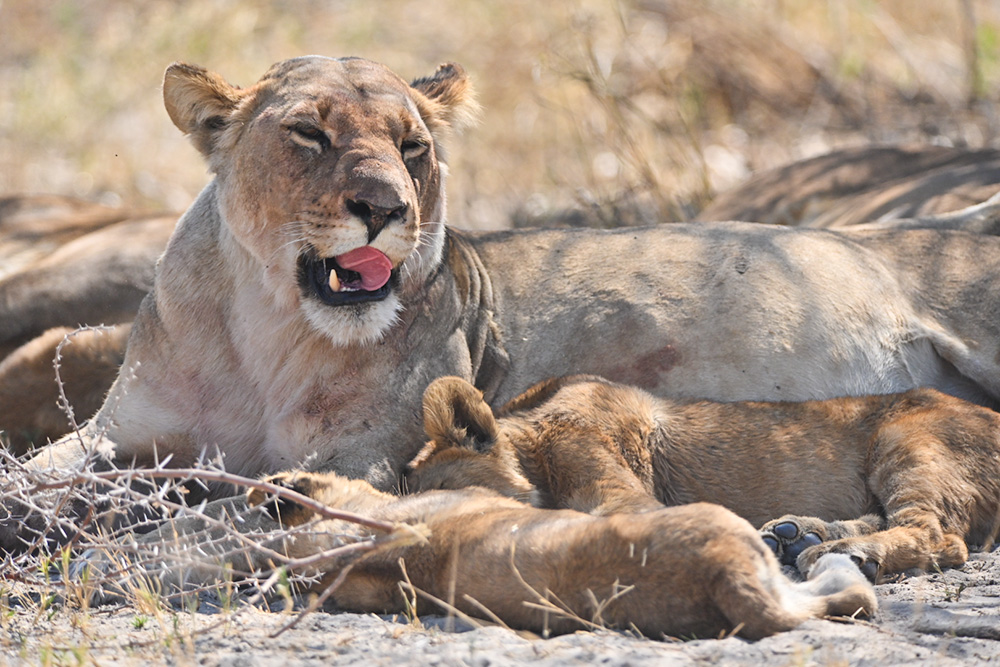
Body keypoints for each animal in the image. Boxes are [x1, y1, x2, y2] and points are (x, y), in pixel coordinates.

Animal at [12, 55, 1000, 548]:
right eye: (310, 134)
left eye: (412, 147)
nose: (386, 209)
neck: (268, 329)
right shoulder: (117, 427)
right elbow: (37, 472)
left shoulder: (377, 453)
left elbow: (217, 496)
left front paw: (138, 513)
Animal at [406, 376, 1000, 583]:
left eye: (446, 496)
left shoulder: (628, 497)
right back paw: (795, 534)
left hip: (907, 440)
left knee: (939, 536)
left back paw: (843, 553)